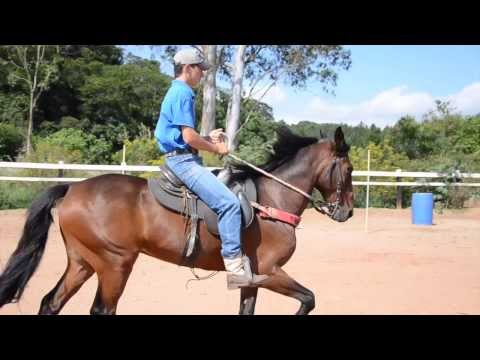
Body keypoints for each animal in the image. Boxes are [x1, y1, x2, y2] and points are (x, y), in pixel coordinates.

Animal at [0, 127, 352, 316]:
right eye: (348, 170)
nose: (347, 212)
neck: (272, 201)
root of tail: (73, 187)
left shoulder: (252, 279)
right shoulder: (271, 272)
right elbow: (308, 298)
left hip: (83, 262)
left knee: (51, 302)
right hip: (115, 264)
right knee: (101, 309)